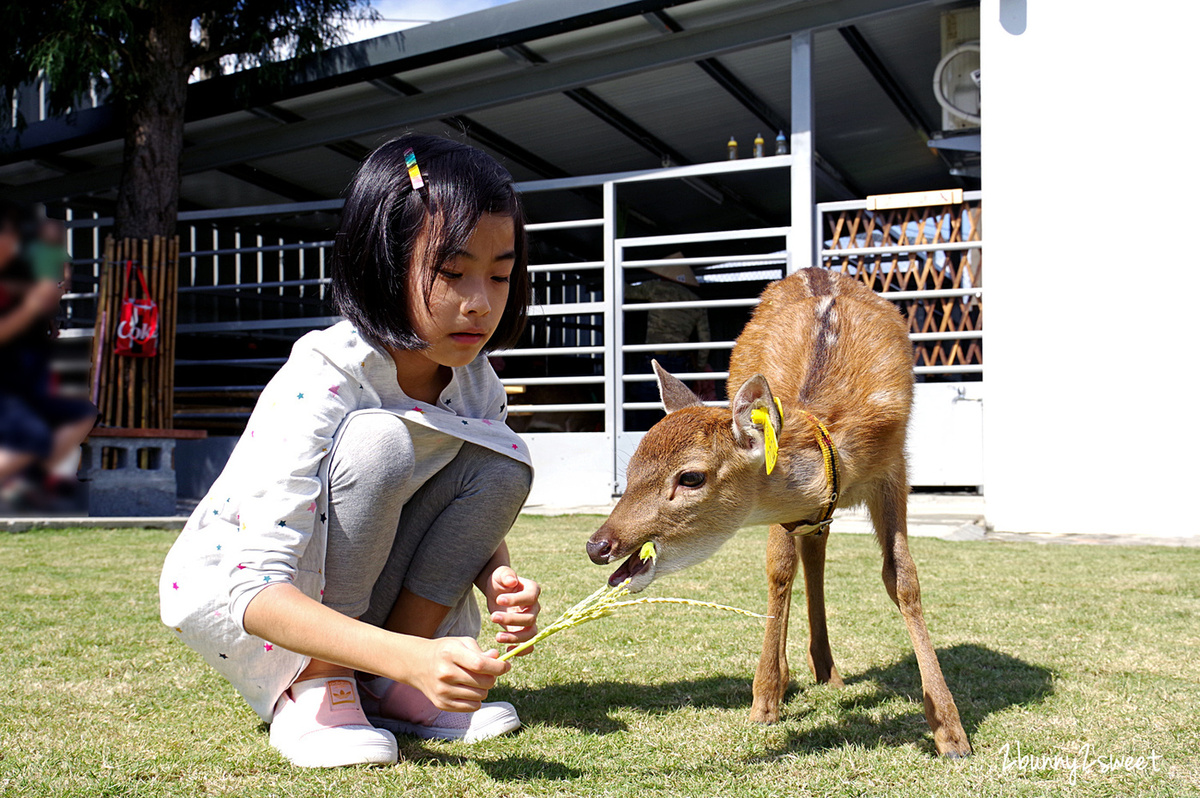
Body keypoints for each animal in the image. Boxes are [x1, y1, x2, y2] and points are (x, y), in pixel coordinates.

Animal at [590, 264, 974, 758]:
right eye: (632, 467)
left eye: (690, 477)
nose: (599, 544)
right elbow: (778, 570)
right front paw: (764, 702)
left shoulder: (894, 468)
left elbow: (902, 578)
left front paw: (951, 733)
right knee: (798, 559)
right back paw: (795, 674)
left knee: (816, 552)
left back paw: (826, 671)